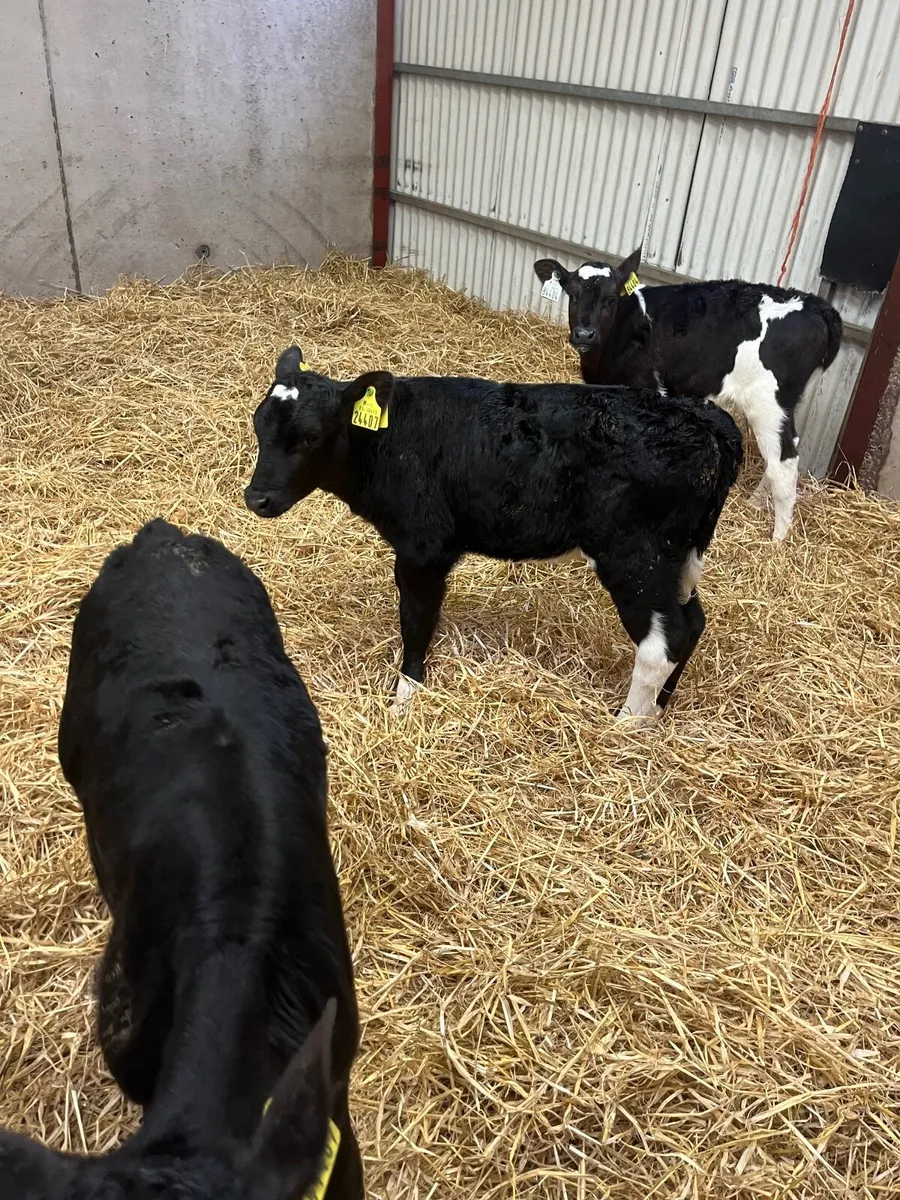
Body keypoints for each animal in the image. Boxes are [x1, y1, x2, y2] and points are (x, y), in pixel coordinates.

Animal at [245, 348, 742, 722]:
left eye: (310, 437)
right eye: (258, 424)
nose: (256, 498)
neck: (391, 440)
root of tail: (702, 418)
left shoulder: (422, 546)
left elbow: (416, 619)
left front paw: (405, 696)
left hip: (636, 557)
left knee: (663, 642)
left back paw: (627, 725)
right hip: (678, 558)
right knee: (692, 623)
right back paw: (660, 706)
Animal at [533, 248, 843, 541]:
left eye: (611, 298)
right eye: (573, 295)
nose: (584, 334)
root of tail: (815, 305)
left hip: (769, 403)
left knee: (785, 459)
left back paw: (777, 540)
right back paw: (756, 502)